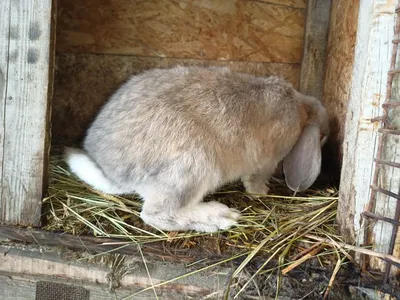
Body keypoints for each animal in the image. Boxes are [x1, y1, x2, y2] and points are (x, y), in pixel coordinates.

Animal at [65, 66, 328, 232]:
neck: (300, 108)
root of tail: (111, 172)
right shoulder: (266, 161)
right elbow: (255, 178)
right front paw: (262, 192)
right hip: (194, 164)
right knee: (156, 214)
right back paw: (220, 217)